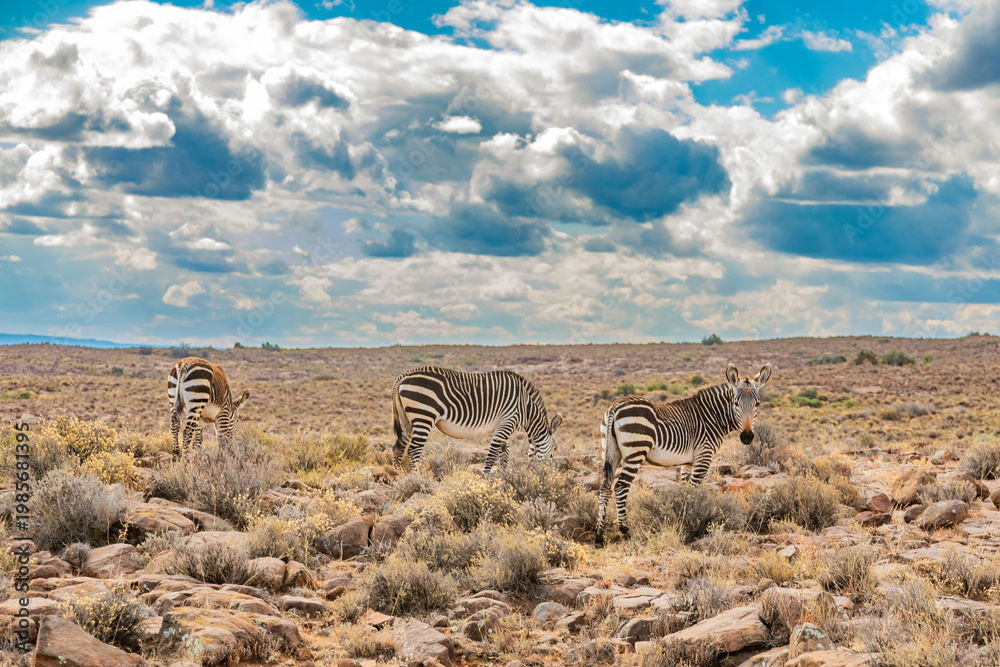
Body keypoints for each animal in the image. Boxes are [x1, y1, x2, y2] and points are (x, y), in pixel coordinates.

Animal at [390, 366, 562, 473]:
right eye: (554, 450)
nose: (549, 474)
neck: (525, 408)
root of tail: (402, 377)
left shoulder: (502, 425)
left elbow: (504, 454)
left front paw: (503, 476)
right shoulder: (507, 421)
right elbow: (493, 453)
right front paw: (486, 478)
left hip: (407, 421)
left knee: (398, 447)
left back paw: (399, 477)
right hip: (423, 415)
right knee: (413, 450)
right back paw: (418, 478)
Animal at [594, 363, 771, 548]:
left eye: (757, 404)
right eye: (736, 403)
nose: (747, 437)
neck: (713, 416)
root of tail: (615, 407)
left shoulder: (688, 462)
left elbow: (685, 489)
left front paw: (683, 519)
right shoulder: (704, 455)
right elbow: (694, 490)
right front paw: (693, 520)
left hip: (610, 450)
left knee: (605, 487)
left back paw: (599, 536)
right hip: (635, 451)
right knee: (621, 487)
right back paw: (626, 531)